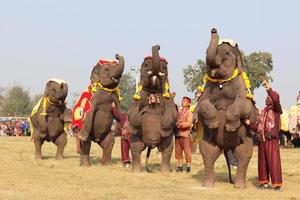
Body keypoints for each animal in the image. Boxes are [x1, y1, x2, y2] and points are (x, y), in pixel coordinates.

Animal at [127, 44, 178, 173]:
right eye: (145, 65)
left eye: (164, 67)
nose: (158, 46)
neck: (153, 91)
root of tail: (151, 144)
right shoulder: (139, 95)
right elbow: (132, 112)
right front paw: (142, 114)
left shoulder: (168, 97)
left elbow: (173, 113)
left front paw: (164, 124)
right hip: (137, 137)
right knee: (136, 148)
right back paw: (136, 173)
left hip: (166, 139)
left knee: (167, 150)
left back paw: (165, 173)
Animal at [196, 28, 256, 189]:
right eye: (205, 52)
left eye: (227, 54)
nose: (213, 29)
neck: (222, 82)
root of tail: (226, 147)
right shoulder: (206, 89)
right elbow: (200, 104)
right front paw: (213, 124)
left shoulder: (243, 90)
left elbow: (244, 105)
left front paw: (230, 127)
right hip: (209, 141)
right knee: (208, 153)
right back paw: (207, 185)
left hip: (246, 140)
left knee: (243, 155)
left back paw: (239, 186)